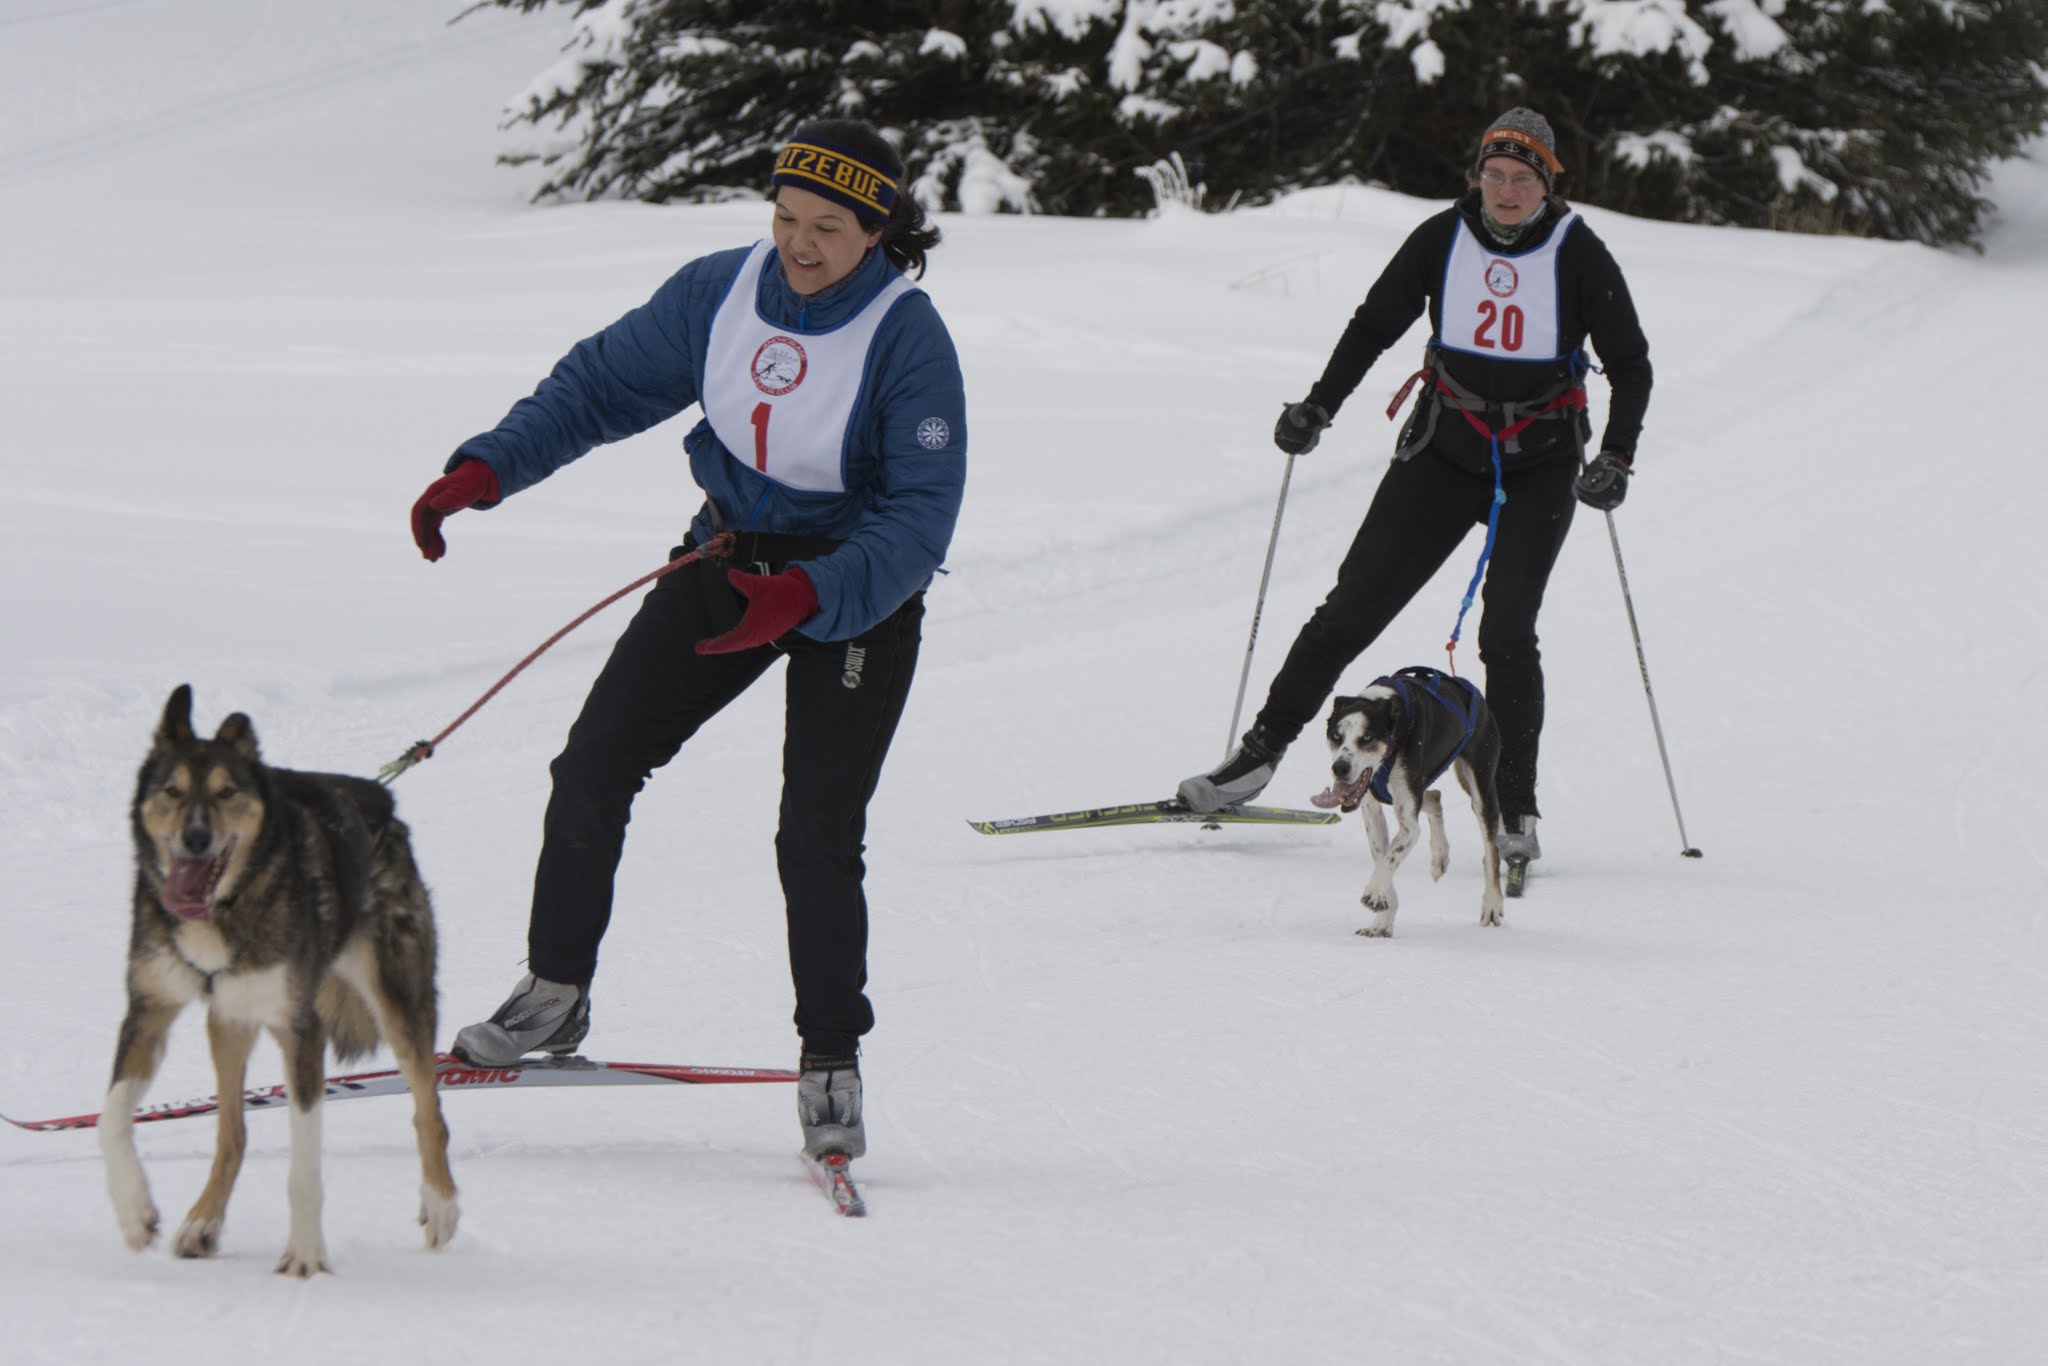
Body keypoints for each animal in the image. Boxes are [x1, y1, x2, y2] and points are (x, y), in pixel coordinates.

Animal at [1310, 663, 1507, 933]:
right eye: (1336, 736)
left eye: (1367, 737)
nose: (1340, 768)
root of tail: (1473, 693)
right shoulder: (1372, 810)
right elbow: (1382, 858)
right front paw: (1382, 918)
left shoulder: (1408, 823)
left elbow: (1390, 857)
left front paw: (1374, 892)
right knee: (1434, 797)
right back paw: (1439, 855)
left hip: (1481, 788)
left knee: (1491, 852)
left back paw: (1492, 904)